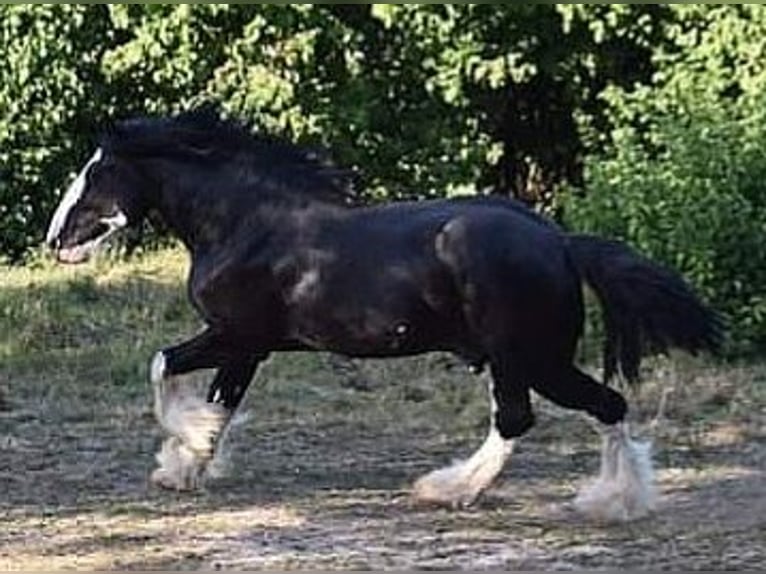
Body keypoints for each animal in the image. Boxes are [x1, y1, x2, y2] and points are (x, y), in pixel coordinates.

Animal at [45, 110, 722, 522]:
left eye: (96, 173)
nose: (55, 241)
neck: (245, 224)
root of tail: (559, 242)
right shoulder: (249, 346)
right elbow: (218, 399)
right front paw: (186, 465)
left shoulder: (235, 333)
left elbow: (162, 366)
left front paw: (184, 449)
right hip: (530, 356)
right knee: (594, 408)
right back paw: (614, 500)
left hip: (525, 356)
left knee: (537, 415)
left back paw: (459, 489)